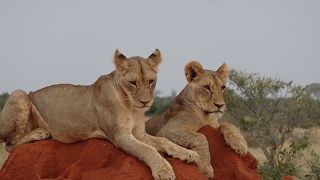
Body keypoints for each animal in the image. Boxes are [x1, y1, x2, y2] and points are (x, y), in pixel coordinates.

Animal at [0, 49, 199, 180]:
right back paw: (39, 132)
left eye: (151, 81)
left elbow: (164, 141)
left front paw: (188, 153)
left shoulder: (139, 133)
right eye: (133, 82)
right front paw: (164, 170)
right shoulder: (120, 136)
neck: (131, 107)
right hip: (19, 94)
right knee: (10, 144)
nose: (145, 102)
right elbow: (147, 149)